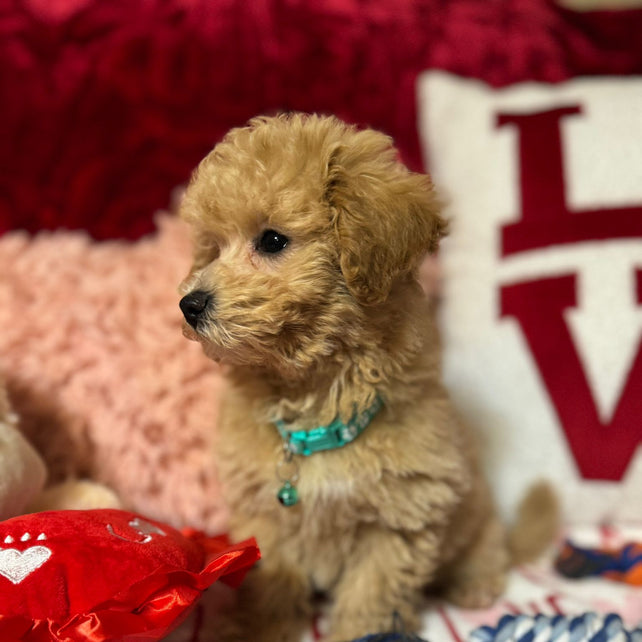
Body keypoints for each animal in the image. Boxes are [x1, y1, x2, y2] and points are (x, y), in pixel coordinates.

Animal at [176, 115, 528, 640]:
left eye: (272, 240)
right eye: (213, 248)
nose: (190, 304)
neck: (314, 396)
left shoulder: (401, 514)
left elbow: (371, 594)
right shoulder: (266, 515)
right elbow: (270, 584)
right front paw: (255, 627)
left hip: (476, 515)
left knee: (483, 546)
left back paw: (475, 584)